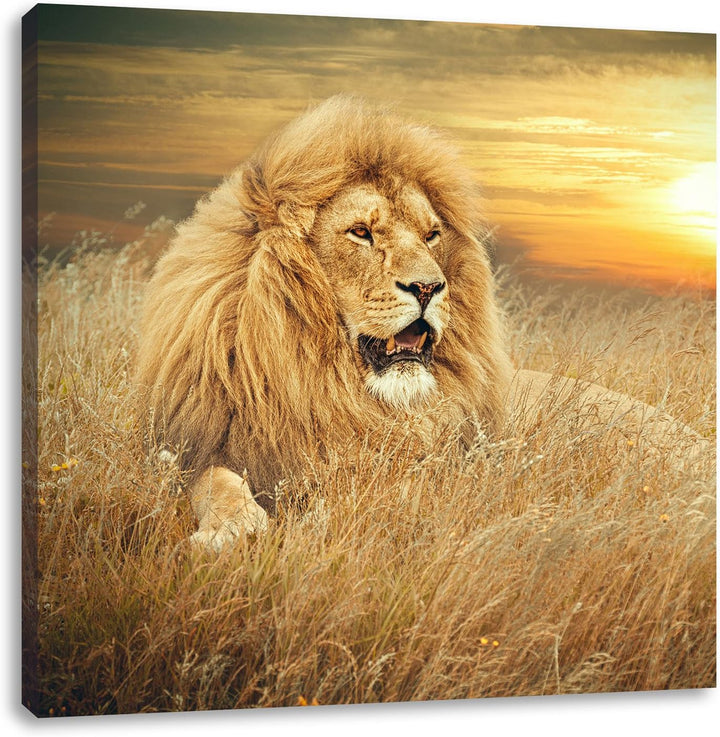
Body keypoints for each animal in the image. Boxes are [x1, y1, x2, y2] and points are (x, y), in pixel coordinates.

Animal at [136, 96, 707, 550]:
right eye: (361, 232)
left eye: (432, 235)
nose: (429, 287)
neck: (328, 386)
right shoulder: (195, 447)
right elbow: (215, 481)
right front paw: (233, 530)